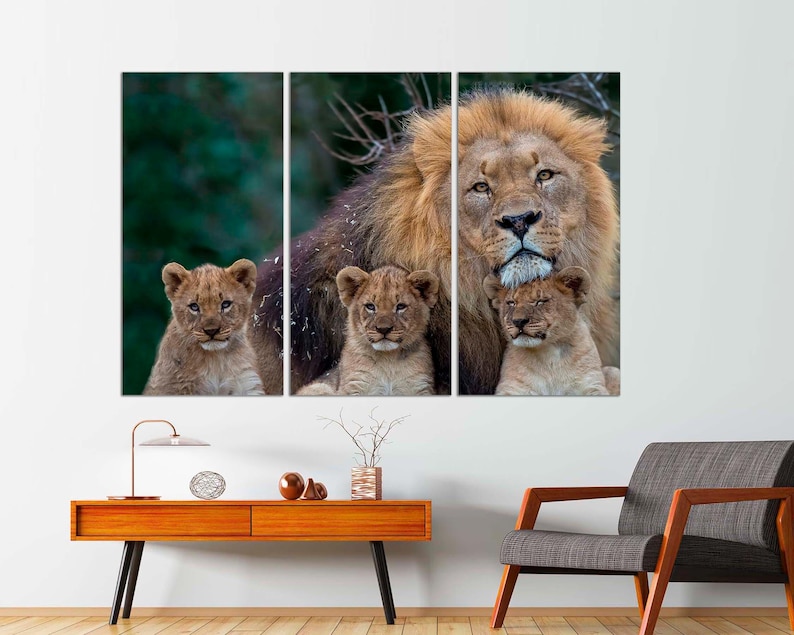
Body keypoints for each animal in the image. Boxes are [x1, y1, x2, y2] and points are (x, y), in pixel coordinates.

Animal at [297, 265, 439, 396]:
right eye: (370, 306)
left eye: (401, 306)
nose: (383, 329)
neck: (389, 360)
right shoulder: (354, 385)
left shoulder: (420, 387)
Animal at [484, 267, 619, 396]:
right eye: (511, 303)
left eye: (540, 302)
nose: (518, 321)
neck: (549, 355)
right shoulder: (511, 388)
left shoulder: (591, 384)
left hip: (612, 371)